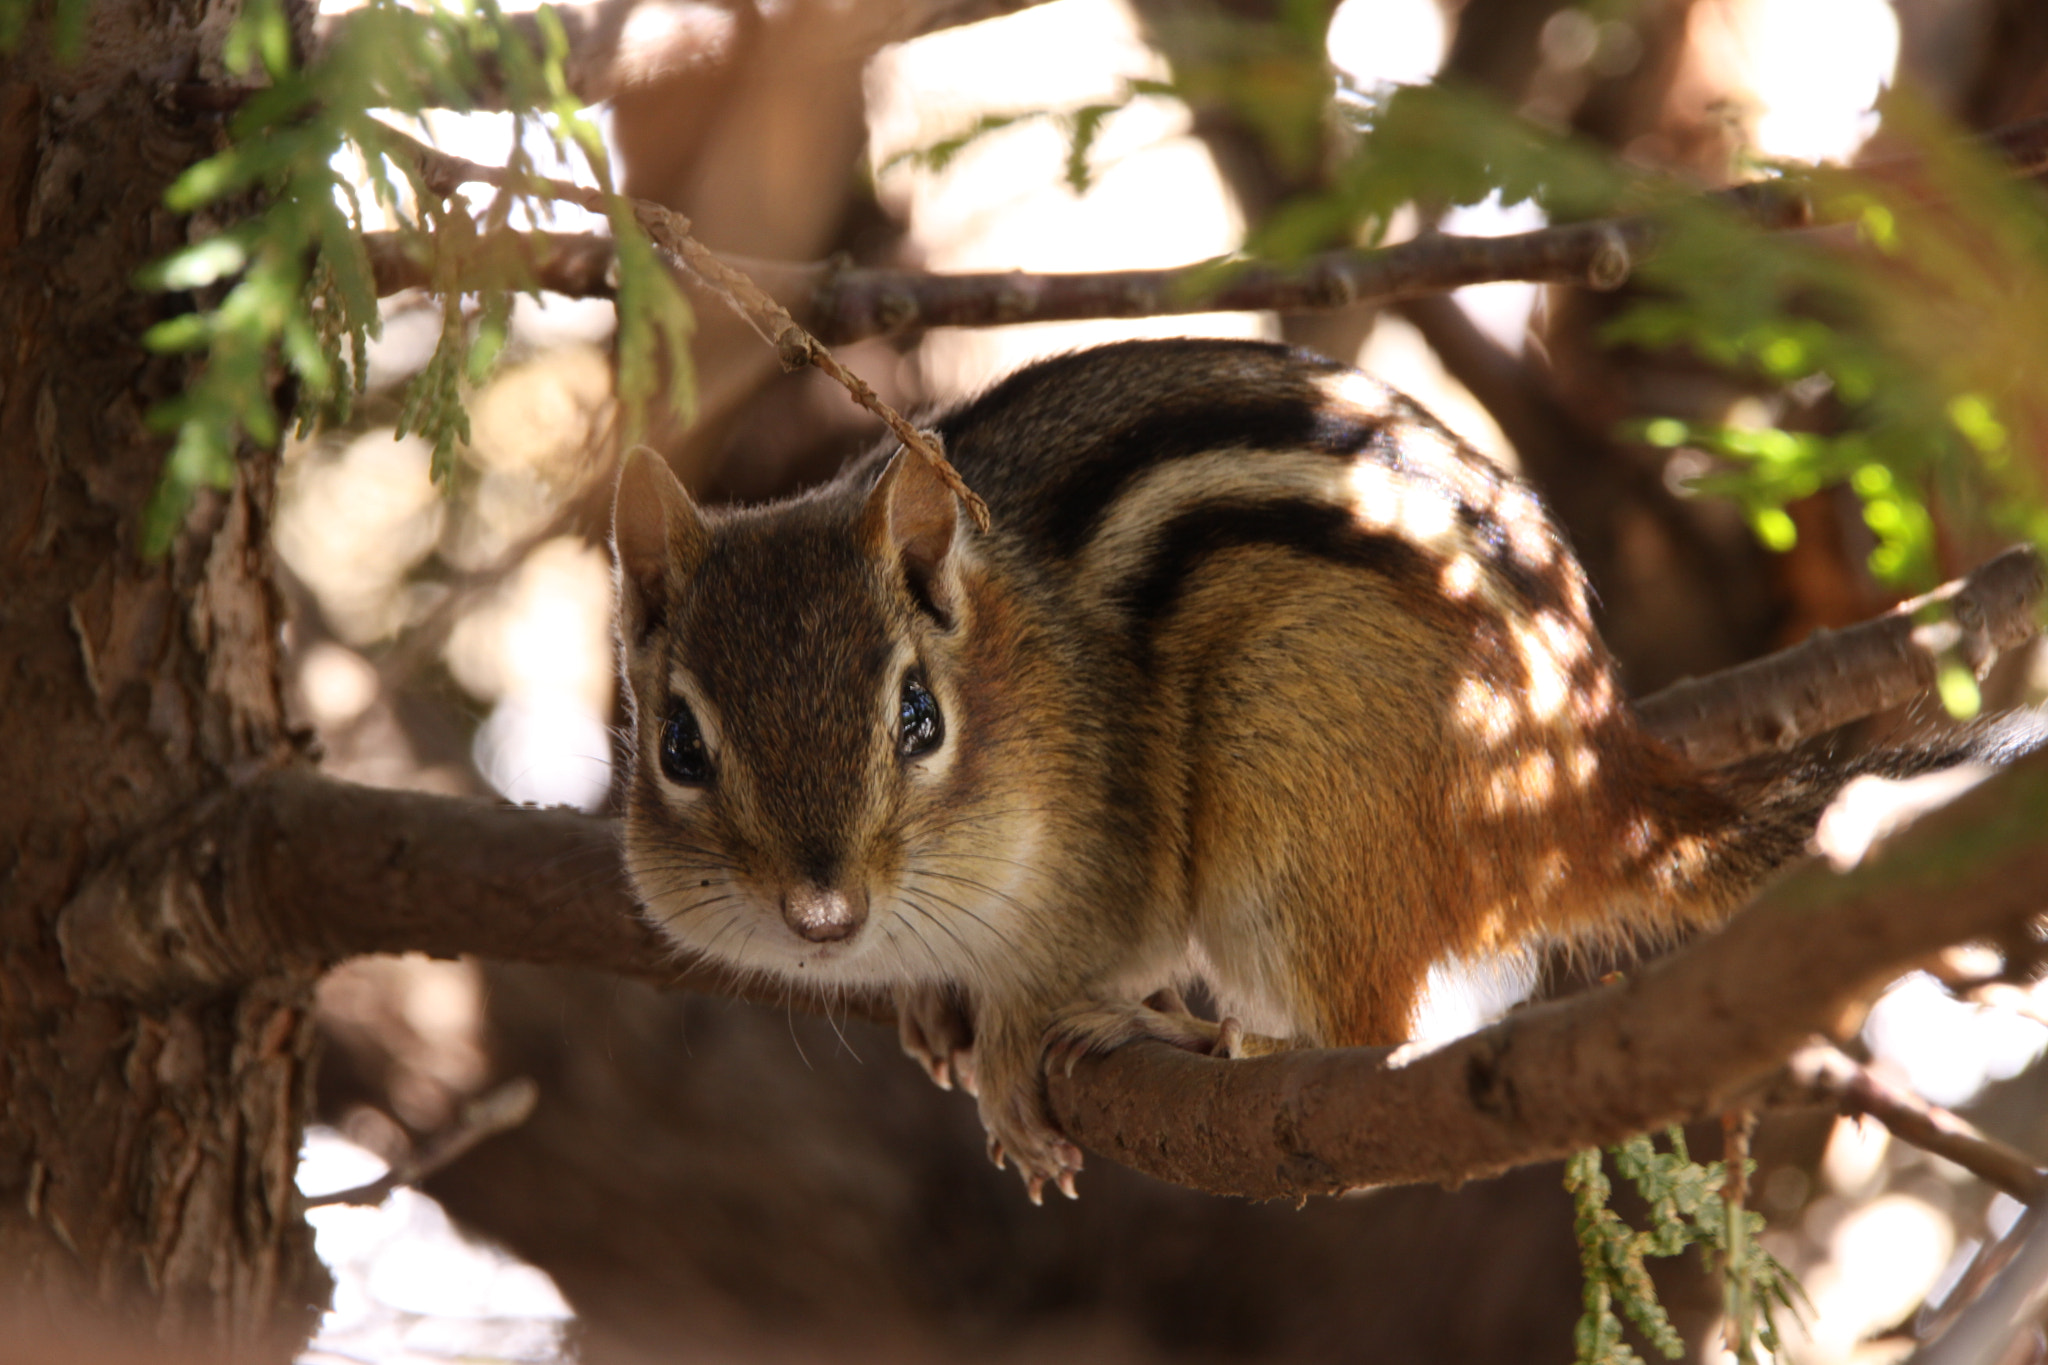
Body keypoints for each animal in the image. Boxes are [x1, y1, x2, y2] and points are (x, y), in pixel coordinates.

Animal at [611, 336, 2018, 1202]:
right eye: (678, 745)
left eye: (916, 720)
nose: (822, 914)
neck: (1027, 662)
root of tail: (1584, 774)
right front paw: (928, 1009)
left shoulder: (1112, 846)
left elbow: (1084, 951)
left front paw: (1016, 1039)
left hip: (1294, 787)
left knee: (1363, 1035)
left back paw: (1190, 1032)